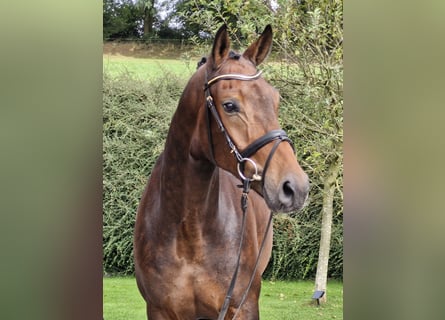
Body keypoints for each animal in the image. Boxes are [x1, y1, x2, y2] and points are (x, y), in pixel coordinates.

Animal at [133, 25, 308, 320]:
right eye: (229, 105)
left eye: (276, 100)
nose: (296, 187)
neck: (189, 231)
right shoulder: (159, 311)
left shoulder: (242, 307)